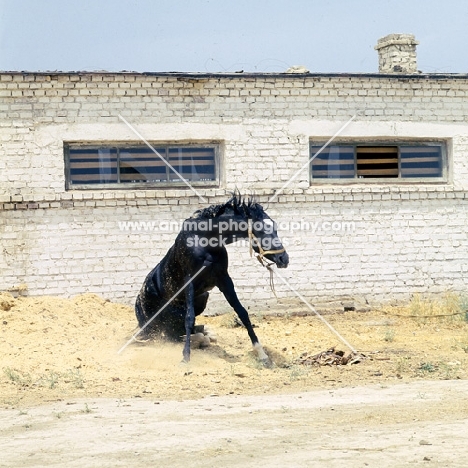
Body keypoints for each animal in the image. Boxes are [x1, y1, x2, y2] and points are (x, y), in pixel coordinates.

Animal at [134, 194, 288, 366]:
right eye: (260, 229)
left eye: (275, 228)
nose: (284, 258)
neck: (204, 241)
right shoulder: (189, 280)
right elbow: (189, 318)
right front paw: (185, 357)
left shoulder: (224, 279)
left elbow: (242, 312)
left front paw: (262, 354)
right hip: (152, 327)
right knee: (167, 336)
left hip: (203, 297)